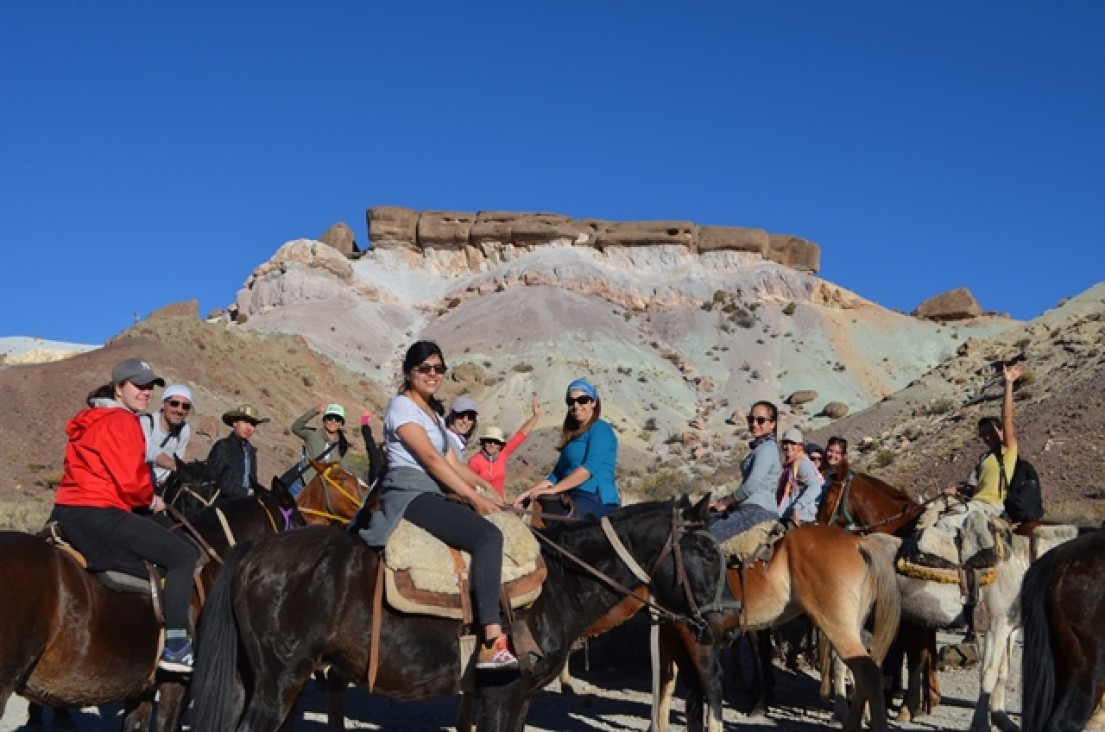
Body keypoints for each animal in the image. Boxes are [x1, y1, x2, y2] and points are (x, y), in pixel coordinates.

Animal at [194, 499, 738, 732]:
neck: (558, 583)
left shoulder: (516, 701)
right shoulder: (501, 696)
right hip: (280, 681)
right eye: (703, 552)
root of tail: (255, 550)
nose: (730, 622)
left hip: (255, 678)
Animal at [649, 524, 901, 732]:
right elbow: (667, 680)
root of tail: (857, 542)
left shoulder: (683, 629)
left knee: (868, 673)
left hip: (838, 627)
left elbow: (673, 680)